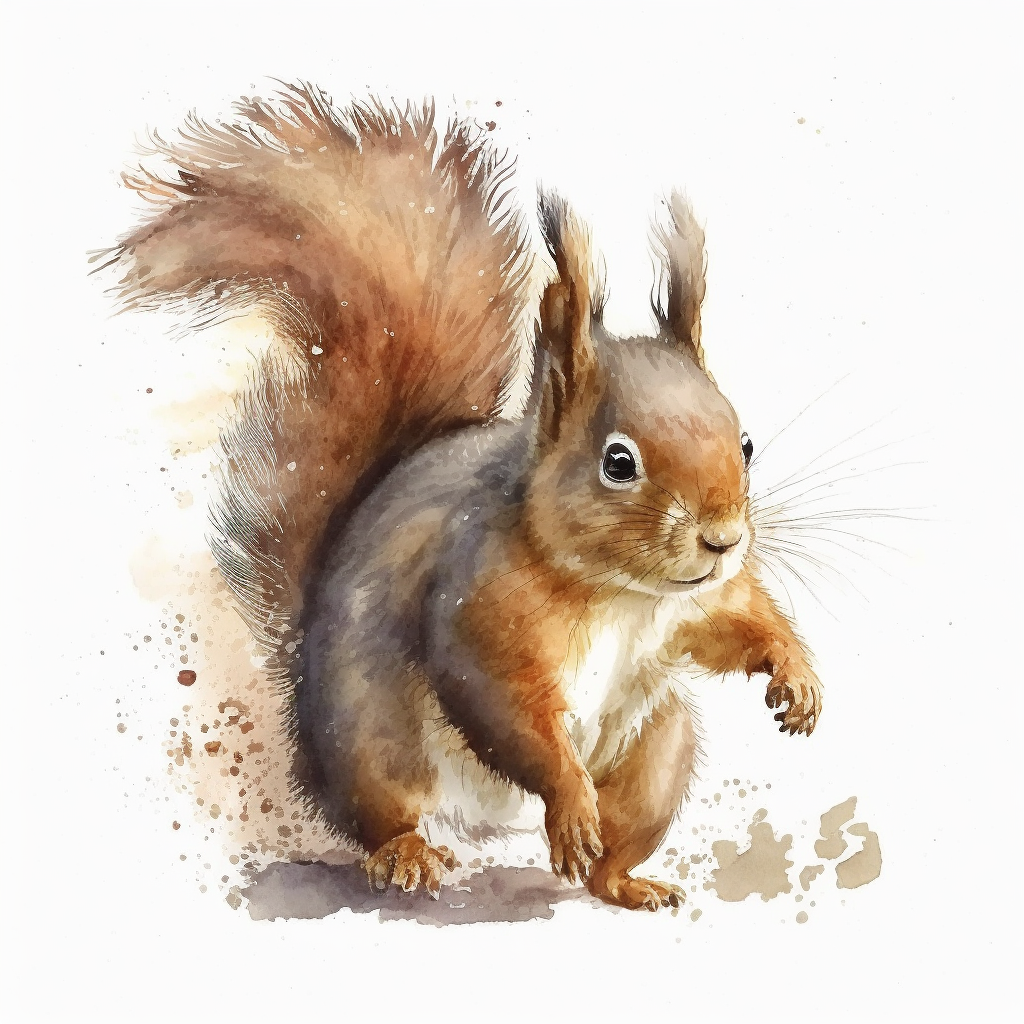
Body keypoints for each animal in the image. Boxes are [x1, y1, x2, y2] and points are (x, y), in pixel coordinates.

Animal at [99, 82, 822, 912]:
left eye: (746, 444)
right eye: (618, 462)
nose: (723, 539)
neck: (621, 592)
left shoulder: (698, 604)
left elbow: (744, 619)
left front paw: (797, 679)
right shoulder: (479, 603)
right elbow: (504, 706)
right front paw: (568, 800)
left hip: (657, 751)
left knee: (618, 838)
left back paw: (626, 881)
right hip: (370, 738)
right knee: (383, 817)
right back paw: (414, 854)